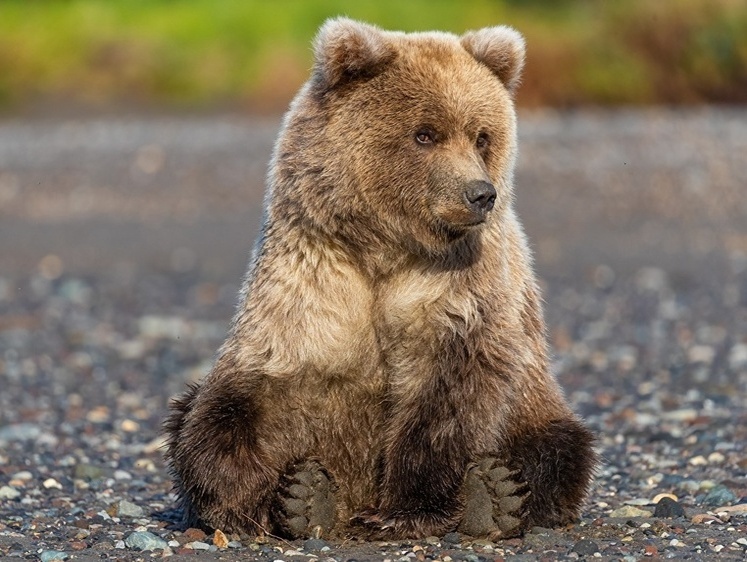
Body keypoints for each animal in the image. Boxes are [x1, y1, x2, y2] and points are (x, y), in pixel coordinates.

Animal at [164, 18, 596, 540]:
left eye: (481, 136)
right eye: (425, 134)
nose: (480, 194)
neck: (385, 250)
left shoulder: (461, 292)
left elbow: (449, 397)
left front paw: (408, 510)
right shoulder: (312, 281)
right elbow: (236, 405)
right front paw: (251, 501)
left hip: (535, 404)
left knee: (558, 447)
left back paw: (494, 495)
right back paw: (312, 500)